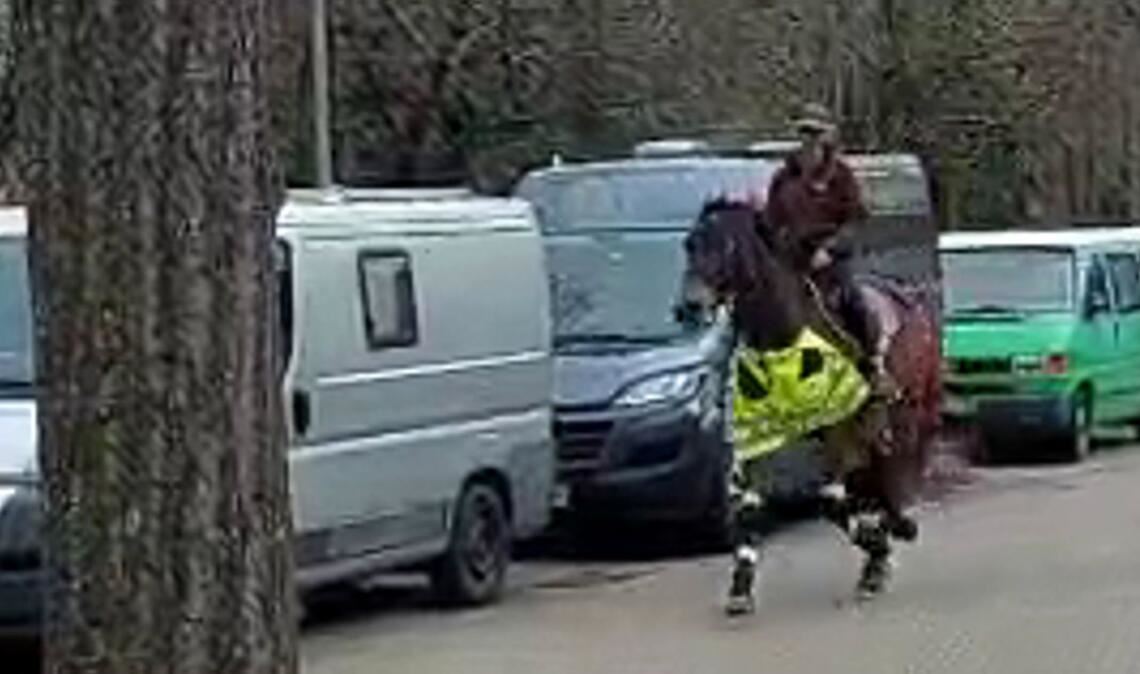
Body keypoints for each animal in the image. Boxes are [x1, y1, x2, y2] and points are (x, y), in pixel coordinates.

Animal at [678, 197, 940, 612]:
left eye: (727, 247)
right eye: (689, 244)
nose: (689, 306)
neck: (782, 336)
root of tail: (909, 298)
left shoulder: (839, 430)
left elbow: (829, 501)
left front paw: (877, 543)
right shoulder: (756, 437)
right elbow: (750, 505)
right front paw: (740, 589)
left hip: (902, 414)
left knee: (893, 474)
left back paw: (896, 531)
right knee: (876, 482)